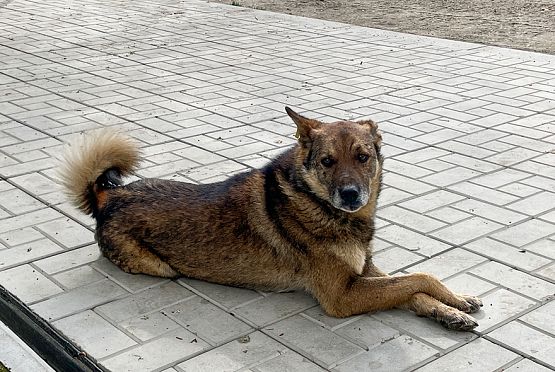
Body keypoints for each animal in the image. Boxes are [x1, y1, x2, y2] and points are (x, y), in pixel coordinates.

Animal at [60, 106, 484, 330]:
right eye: (328, 161)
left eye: (363, 157)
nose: (350, 195)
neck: (316, 203)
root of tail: (109, 195)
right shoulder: (342, 296)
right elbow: (418, 279)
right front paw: (449, 302)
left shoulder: (362, 271)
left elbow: (413, 285)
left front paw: (451, 306)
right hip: (161, 269)